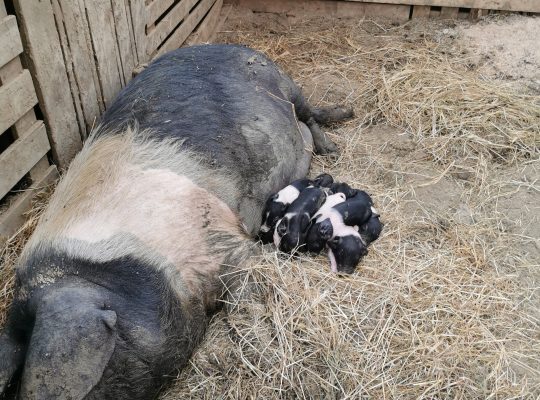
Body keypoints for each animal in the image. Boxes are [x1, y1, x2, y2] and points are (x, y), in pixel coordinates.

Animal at [0, 43, 352, 396]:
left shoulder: (221, 238)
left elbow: (245, 300)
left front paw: (264, 355)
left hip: (283, 82)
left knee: (309, 113)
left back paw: (335, 144)